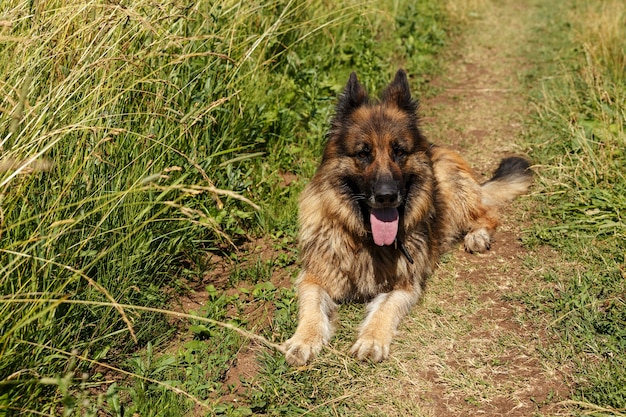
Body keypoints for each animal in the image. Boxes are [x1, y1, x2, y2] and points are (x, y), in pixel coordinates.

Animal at [282, 70, 532, 366]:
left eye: (399, 151)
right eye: (363, 153)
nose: (387, 196)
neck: (364, 239)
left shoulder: (404, 285)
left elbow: (384, 310)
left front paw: (371, 339)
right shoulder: (314, 276)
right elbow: (311, 306)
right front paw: (303, 339)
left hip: (452, 187)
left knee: (487, 213)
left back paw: (477, 235)